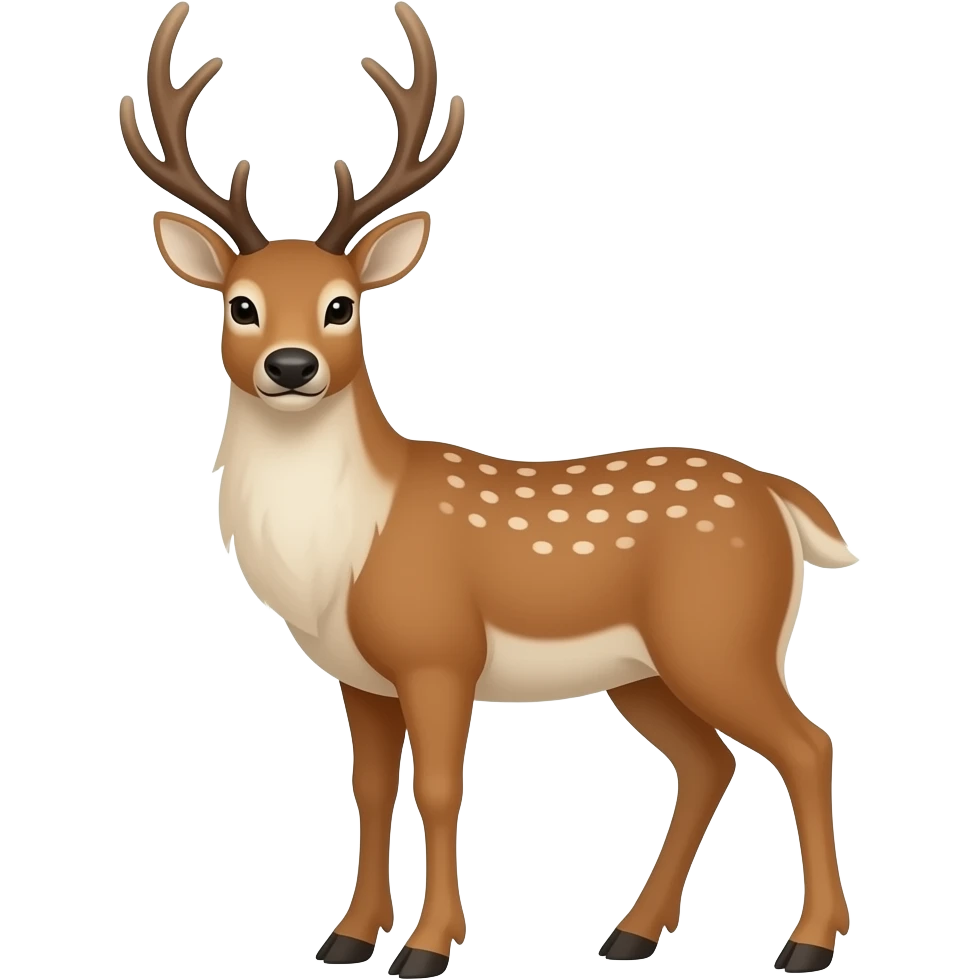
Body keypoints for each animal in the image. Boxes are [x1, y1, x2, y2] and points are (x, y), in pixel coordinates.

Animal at [117, 2, 857, 976]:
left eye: (342, 304)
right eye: (240, 304)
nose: (291, 366)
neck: (338, 553)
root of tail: (781, 498)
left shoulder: (439, 649)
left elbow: (437, 787)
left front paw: (428, 947)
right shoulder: (359, 673)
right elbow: (368, 790)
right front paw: (348, 937)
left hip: (720, 634)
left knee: (807, 745)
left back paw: (805, 943)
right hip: (645, 669)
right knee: (709, 763)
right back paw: (631, 933)